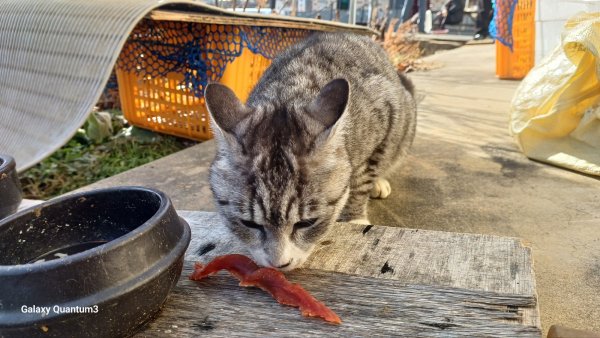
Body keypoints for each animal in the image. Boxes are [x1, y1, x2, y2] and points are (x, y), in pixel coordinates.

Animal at [204, 31, 414, 270]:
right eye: (249, 223)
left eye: (307, 223)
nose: (279, 264)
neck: (288, 93)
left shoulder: (386, 113)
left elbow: (362, 178)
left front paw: (355, 218)